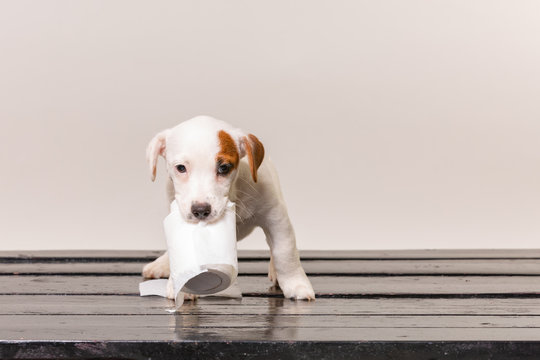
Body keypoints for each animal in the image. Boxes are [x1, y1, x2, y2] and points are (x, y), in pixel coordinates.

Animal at [143, 116, 314, 300]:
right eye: (181, 168)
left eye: (223, 167)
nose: (201, 210)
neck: (234, 196)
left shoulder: (275, 217)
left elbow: (285, 252)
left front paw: (296, 284)